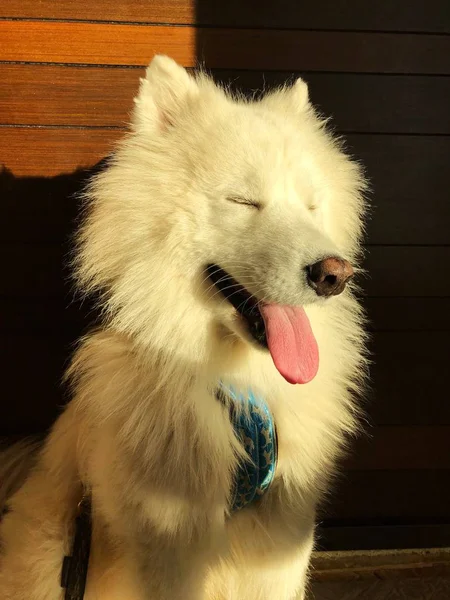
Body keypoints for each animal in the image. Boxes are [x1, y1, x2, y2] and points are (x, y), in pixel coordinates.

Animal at [0, 56, 366, 600]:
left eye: (310, 206)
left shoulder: (282, 539)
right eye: (244, 201)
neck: (239, 383)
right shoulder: (165, 545)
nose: (334, 274)